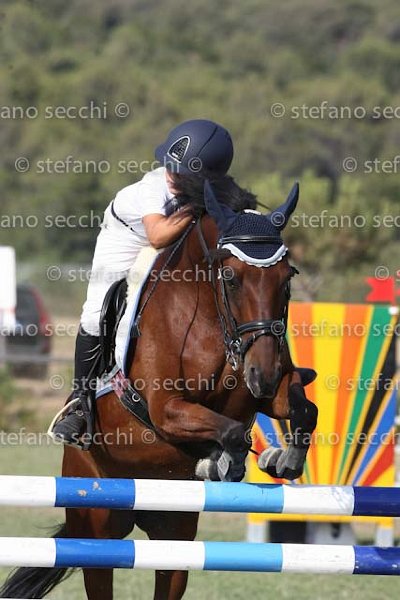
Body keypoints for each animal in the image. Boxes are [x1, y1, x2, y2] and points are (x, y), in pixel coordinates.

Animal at [0, 178, 318, 600]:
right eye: (230, 277)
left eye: (287, 278)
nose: (262, 374)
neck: (211, 319)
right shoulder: (165, 407)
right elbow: (231, 432)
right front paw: (226, 461)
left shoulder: (266, 393)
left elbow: (303, 409)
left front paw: (283, 459)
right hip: (97, 531)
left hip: (175, 536)